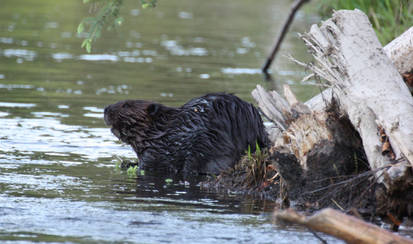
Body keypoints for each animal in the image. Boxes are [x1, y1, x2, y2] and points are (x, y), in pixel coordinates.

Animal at [104, 93, 268, 175]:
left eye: (126, 105)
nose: (105, 108)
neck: (161, 132)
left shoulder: (155, 153)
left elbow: (149, 167)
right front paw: (127, 163)